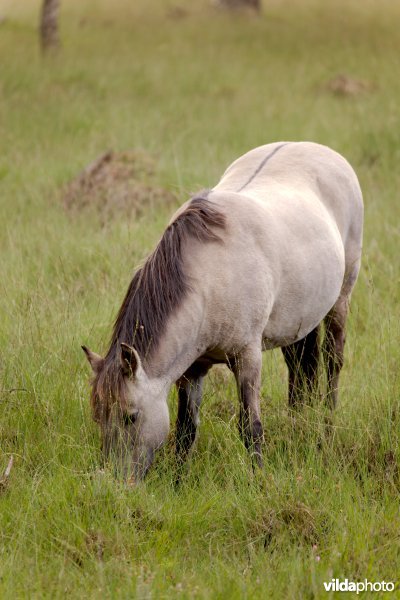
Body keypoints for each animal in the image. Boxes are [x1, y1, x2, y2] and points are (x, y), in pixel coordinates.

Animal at [81, 142, 362, 482]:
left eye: (130, 417)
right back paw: (298, 425)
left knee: (333, 362)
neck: (209, 277)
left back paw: (326, 429)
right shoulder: (192, 368)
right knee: (299, 369)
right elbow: (185, 430)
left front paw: (258, 481)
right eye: (99, 416)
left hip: (341, 299)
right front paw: (178, 484)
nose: (116, 484)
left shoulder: (247, 358)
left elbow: (250, 427)